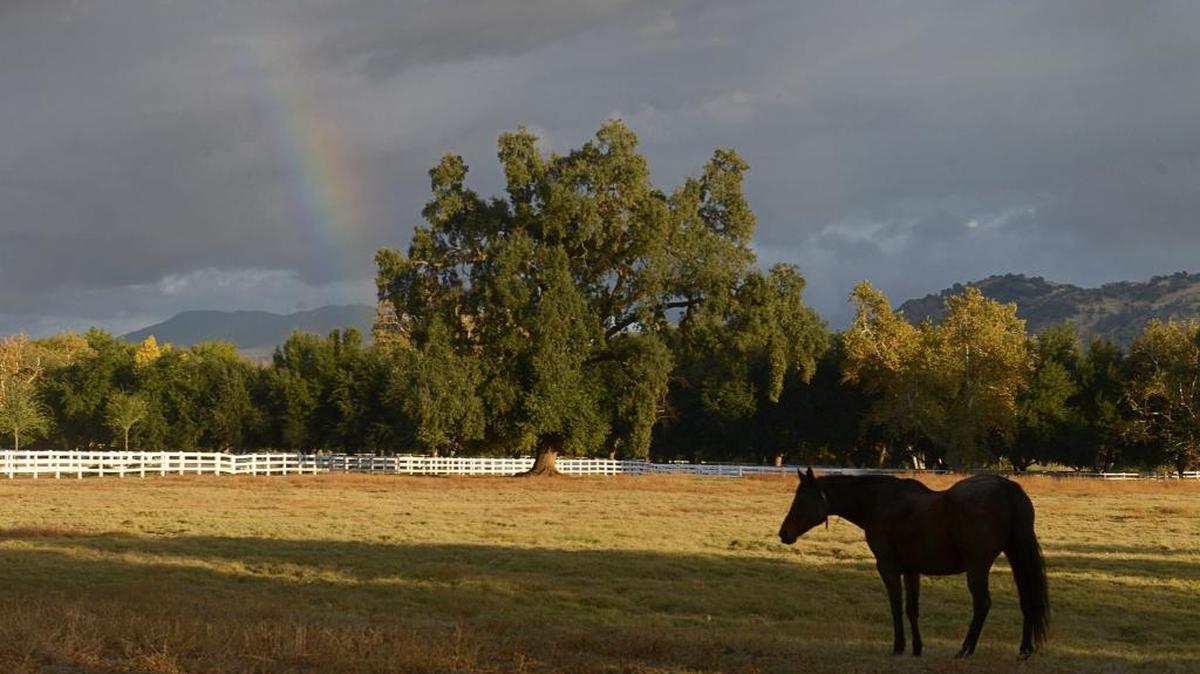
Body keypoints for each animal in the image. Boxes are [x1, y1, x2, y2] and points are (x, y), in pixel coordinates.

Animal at [778, 467, 1049, 658]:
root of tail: (1007, 488)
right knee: (1027, 600)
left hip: (977, 566)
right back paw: (1024, 650)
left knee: (982, 604)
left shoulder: (887, 567)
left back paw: (965, 650)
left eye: (800, 499)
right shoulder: (912, 571)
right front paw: (917, 648)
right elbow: (912, 609)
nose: (784, 533)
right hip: (1016, 557)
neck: (879, 503)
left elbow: (896, 605)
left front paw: (899, 646)